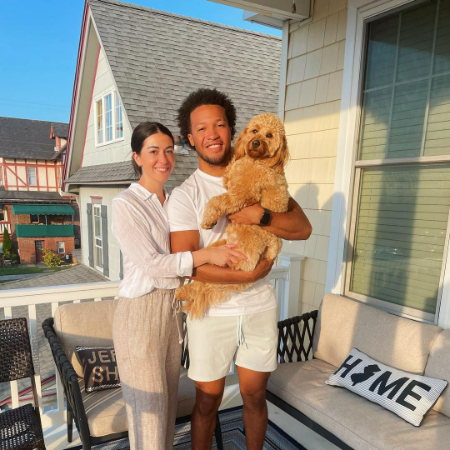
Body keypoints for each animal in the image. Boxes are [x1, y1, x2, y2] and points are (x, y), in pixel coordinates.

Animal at [174, 111, 290, 320]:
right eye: (254, 130)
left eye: (269, 135)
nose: (255, 142)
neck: (257, 161)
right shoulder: (232, 180)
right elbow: (230, 170)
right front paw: (236, 153)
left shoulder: (240, 195)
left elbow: (217, 200)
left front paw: (208, 219)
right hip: (218, 250)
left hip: (238, 260)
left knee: (209, 286)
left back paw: (184, 293)